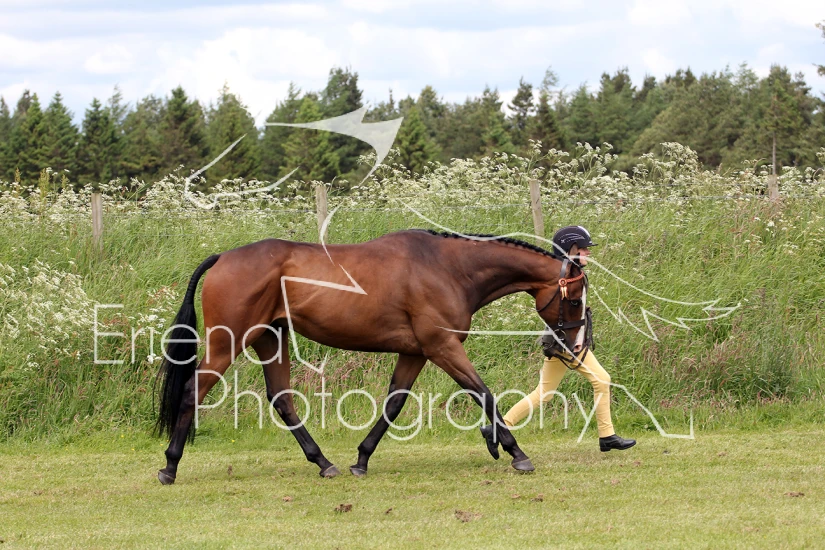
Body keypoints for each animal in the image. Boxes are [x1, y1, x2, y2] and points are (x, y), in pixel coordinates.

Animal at [155, 229, 587, 484]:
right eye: (575, 299)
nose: (572, 346)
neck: (448, 267)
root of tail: (223, 257)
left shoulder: (415, 352)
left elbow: (394, 404)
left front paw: (361, 460)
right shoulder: (443, 347)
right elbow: (484, 394)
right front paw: (516, 452)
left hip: (270, 339)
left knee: (281, 399)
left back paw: (323, 462)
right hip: (227, 344)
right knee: (193, 392)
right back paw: (170, 466)